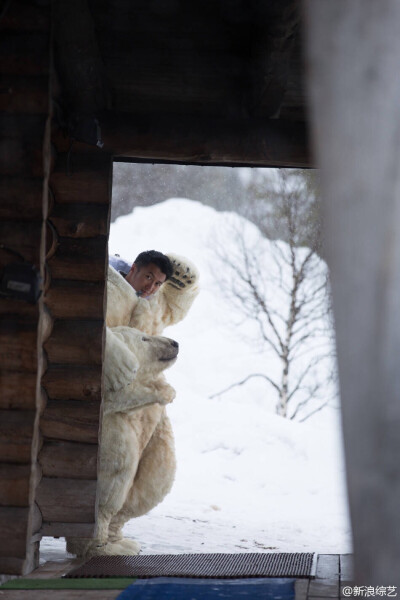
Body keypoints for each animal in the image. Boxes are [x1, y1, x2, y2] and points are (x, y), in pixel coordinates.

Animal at [66, 326, 179, 560]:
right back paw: (108, 547)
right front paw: (164, 390)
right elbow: (119, 394)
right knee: (117, 478)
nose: (175, 343)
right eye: (144, 339)